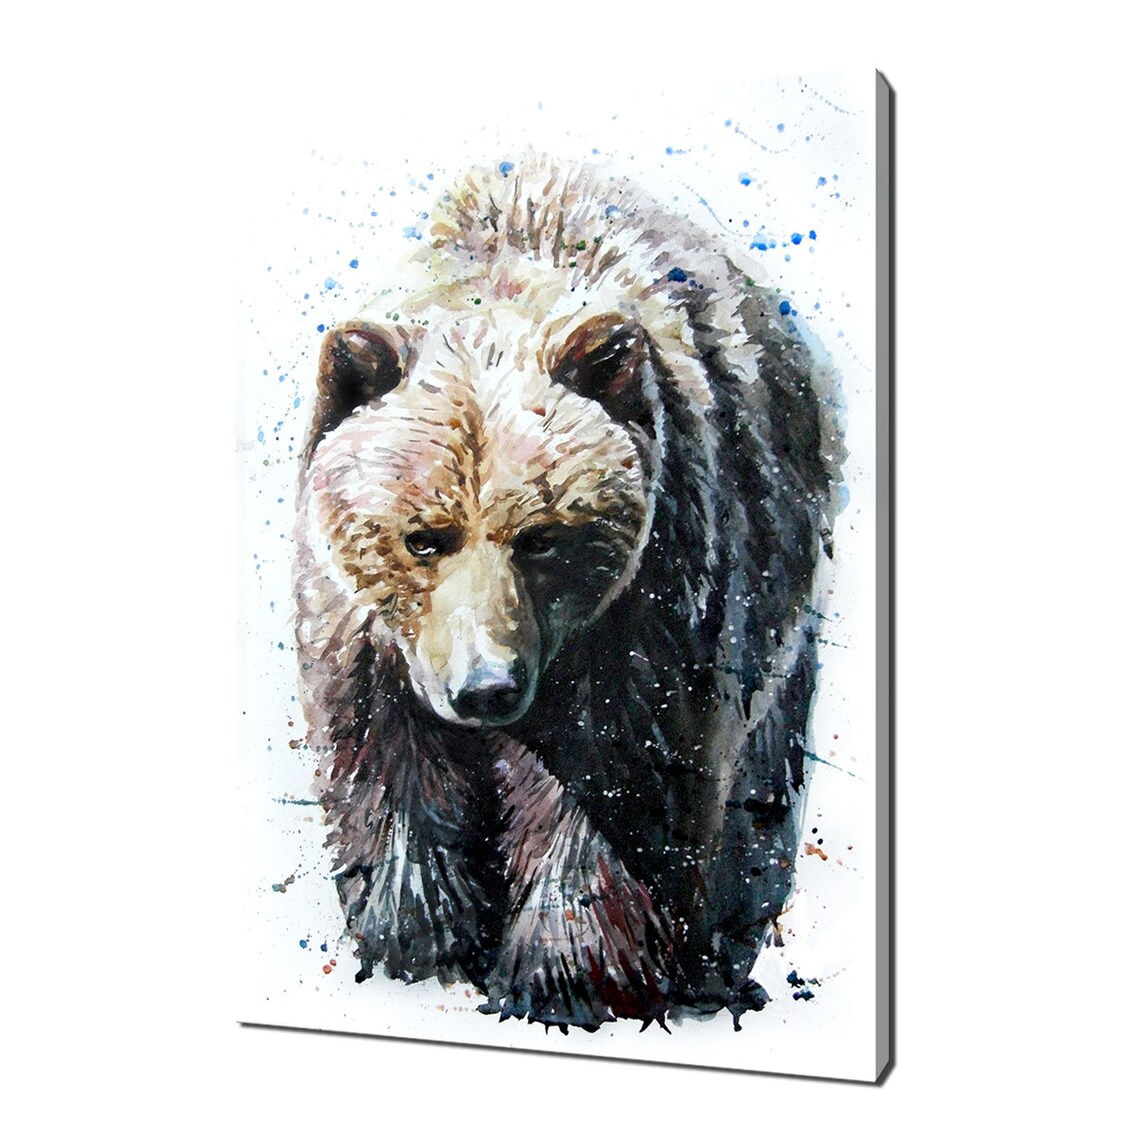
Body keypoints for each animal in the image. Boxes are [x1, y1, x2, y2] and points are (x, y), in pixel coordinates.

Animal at [293, 158, 843, 1031]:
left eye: (542, 536)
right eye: (424, 536)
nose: (486, 688)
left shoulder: (647, 614)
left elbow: (613, 797)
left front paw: (561, 976)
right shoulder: (368, 644)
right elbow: (392, 787)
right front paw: (417, 943)